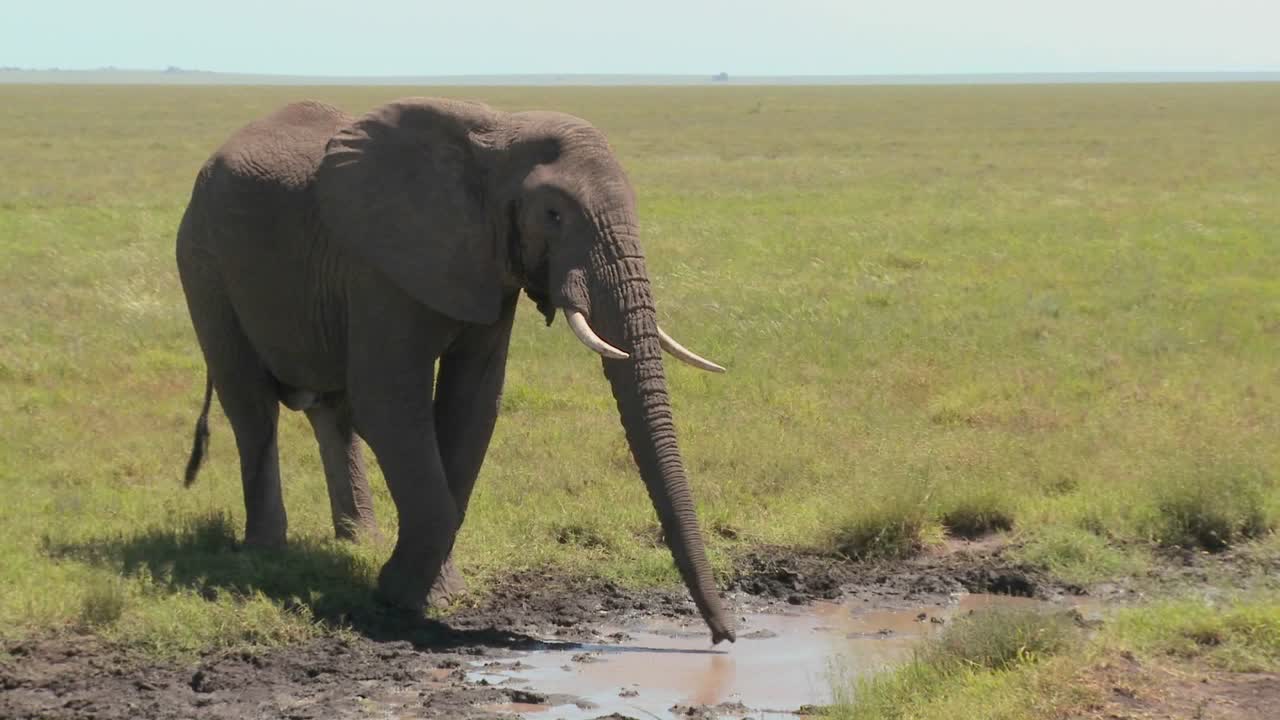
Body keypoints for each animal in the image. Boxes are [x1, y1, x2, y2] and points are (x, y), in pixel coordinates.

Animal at [176, 97, 735, 643]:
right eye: (553, 214)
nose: (723, 638)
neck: (498, 133)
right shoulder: (381, 265)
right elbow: (390, 404)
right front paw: (397, 597)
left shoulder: (486, 266)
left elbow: (473, 403)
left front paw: (434, 596)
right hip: (204, 262)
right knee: (252, 408)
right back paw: (266, 551)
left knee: (332, 415)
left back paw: (358, 541)